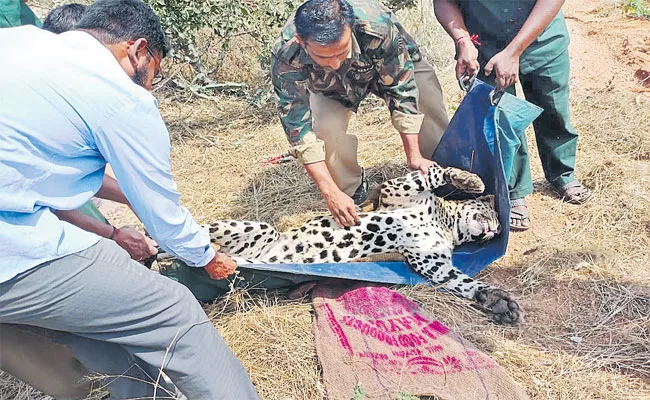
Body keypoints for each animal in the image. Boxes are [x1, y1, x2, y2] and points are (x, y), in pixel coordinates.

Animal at [202, 162, 520, 324]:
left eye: (496, 232)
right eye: (493, 215)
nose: (494, 230)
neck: (447, 224)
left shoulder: (434, 265)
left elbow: (464, 282)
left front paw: (498, 301)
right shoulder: (397, 190)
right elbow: (431, 174)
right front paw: (468, 179)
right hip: (257, 229)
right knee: (206, 230)